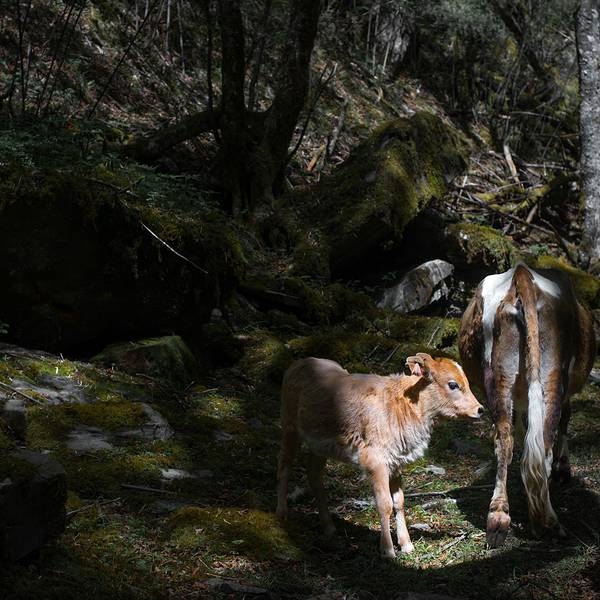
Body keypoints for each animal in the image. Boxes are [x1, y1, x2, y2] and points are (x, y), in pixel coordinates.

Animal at [276, 353, 483, 558]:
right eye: (452, 384)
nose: (480, 409)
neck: (405, 406)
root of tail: (299, 363)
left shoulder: (397, 461)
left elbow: (399, 502)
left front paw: (406, 544)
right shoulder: (376, 461)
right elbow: (385, 504)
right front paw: (388, 550)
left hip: (319, 446)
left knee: (314, 476)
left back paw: (329, 527)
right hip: (289, 426)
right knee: (284, 466)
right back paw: (281, 513)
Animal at [459, 263, 596, 547]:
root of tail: (522, 273)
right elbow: (564, 421)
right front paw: (563, 470)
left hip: (499, 375)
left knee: (505, 441)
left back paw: (499, 518)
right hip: (553, 375)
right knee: (543, 442)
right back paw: (547, 519)